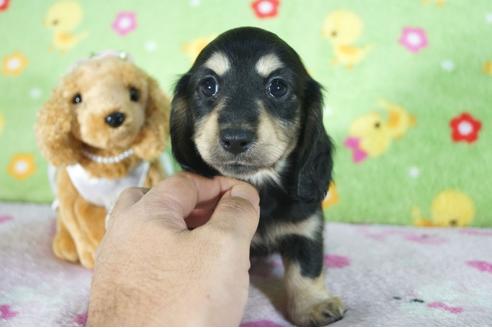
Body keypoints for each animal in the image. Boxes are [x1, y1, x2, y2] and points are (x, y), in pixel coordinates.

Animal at [171, 27, 344, 326]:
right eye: (208, 85)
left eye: (278, 87)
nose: (235, 139)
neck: (259, 185)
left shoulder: (305, 228)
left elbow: (307, 271)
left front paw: (313, 305)